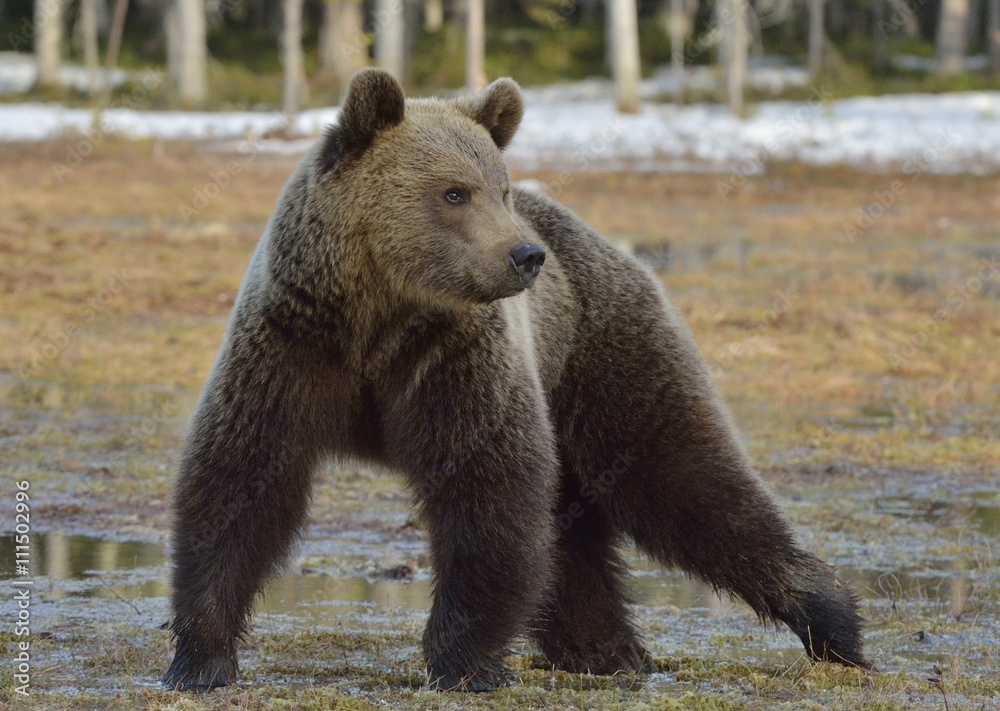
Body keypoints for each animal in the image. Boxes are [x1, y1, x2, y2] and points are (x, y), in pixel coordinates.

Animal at [161, 68, 868, 693]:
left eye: (497, 189)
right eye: (454, 192)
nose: (525, 256)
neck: (378, 316)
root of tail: (603, 242)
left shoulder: (456, 359)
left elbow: (488, 491)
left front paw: (462, 660)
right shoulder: (293, 347)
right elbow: (240, 481)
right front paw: (199, 658)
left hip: (601, 358)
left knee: (684, 481)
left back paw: (832, 622)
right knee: (577, 527)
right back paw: (604, 649)